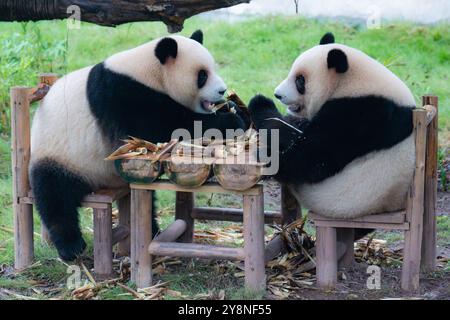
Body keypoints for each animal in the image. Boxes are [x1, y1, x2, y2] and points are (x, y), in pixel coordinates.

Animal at [29, 29, 250, 260]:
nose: (222, 90)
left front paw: (235, 107)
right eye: (202, 76)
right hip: (61, 156)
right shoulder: (124, 96)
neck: (150, 72)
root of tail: (98, 184)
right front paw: (230, 121)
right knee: (54, 194)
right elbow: (160, 128)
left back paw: (153, 231)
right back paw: (71, 247)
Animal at [250, 32, 414, 228]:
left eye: (300, 80)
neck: (352, 81)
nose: (278, 94)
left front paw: (261, 104)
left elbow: (313, 157)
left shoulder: (361, 113)